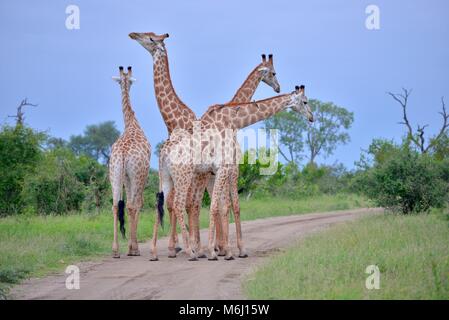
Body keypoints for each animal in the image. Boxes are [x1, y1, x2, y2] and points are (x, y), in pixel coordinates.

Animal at [150, 85, 312, 260]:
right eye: (305, 101)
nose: (312, 117)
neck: (233, 121)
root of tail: (164, 150)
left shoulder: (216, 172)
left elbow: (221, 206)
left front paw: (222, 249)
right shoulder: (229, 169)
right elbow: (227, 206)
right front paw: (227, 251)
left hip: (167, 178)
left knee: (165, 204)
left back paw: (158, 251)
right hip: (184, 176)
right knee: (180, 204)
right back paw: (190, 251)